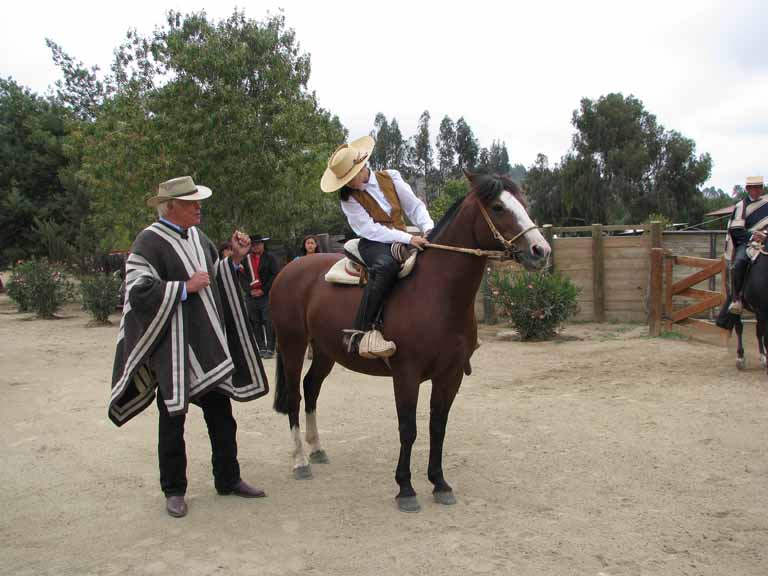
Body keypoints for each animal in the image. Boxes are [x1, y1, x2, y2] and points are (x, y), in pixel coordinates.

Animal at [268, 171, 548, 512]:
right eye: (497, 207)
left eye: (523, 203)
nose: (540, 250)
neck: (436, 292)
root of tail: (289, 269)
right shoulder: (406, 374)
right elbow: (408, 429)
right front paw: (405, 489)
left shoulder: (450, 375)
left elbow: (437, 427)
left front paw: (440, 483)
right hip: (292, 344)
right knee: (294, 396)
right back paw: (300, 461)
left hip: (323, 350)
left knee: (311, 388)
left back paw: (317, 449)